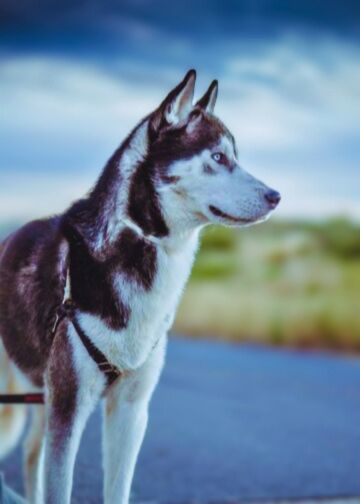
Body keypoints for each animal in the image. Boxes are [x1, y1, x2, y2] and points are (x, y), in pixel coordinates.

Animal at [0, 71, 280, 504]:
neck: (143, 241)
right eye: (218, 157)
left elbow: (117, 489)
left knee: (32, 455)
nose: (276, 196)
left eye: (235, 156)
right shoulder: (69, 406)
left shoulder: (130, 410)